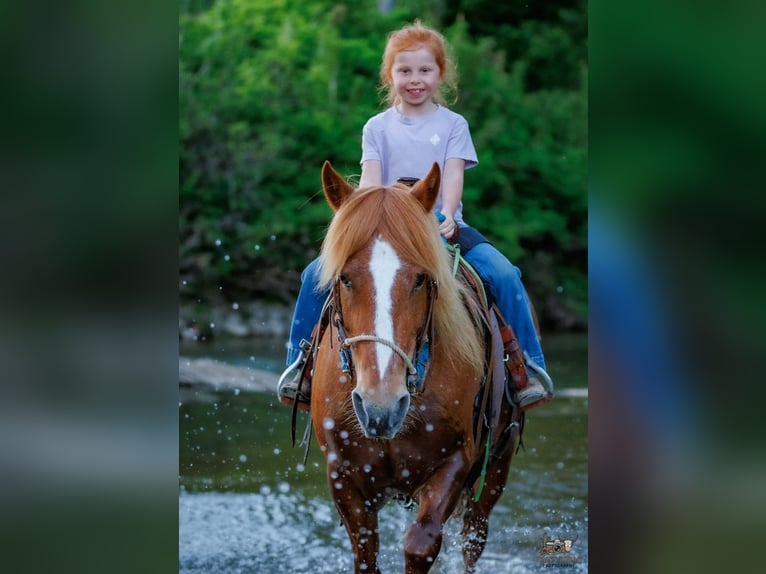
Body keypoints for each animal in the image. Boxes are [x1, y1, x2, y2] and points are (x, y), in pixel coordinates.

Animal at [310, 161, 523, 573]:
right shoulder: (342, 474)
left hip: (496, 468)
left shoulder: (455, 462)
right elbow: (365, 552)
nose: (380, 406)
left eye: (421, 279)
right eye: (344, 278)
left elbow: (421, 545)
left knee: (473, 539)